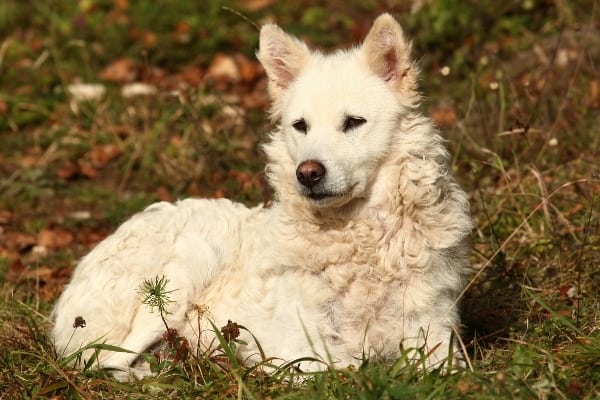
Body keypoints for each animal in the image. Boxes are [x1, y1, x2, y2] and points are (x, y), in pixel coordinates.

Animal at [54, 14, 472, 380]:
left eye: (353, 122)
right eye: (300, 126)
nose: (307, 173)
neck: (360, 239)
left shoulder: (436, 339)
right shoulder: (302, 353)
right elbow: (346, 371)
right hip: (187, 268)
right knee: (101, 362)